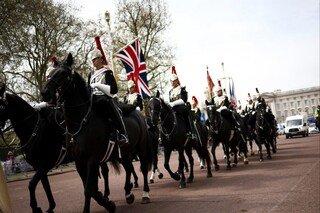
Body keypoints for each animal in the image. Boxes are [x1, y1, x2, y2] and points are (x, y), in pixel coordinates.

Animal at [40, 53, 153, 213]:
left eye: (63, 73)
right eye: (50, 74)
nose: (45, 93)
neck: (79, 123)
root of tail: (138, 113)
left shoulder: (92, 159)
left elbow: (89, 189)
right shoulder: (79, 161)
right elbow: (91, 188)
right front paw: (108, 203)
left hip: (141, 147)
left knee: (143, 168)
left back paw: (145, 194)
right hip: (124, 152)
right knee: (128, 168)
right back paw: (128, 193)